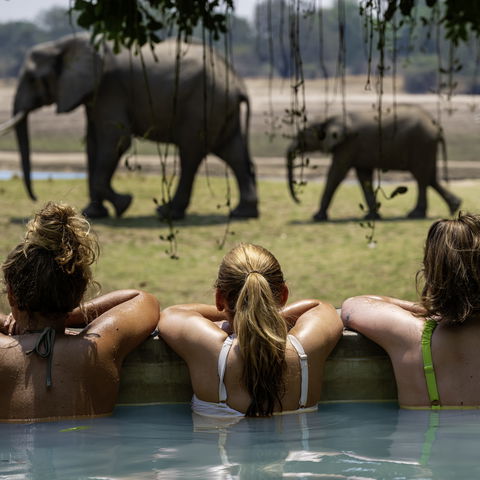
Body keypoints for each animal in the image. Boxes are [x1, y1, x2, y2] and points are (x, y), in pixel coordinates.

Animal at [0, 33, 258, 219]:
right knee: (233, 152)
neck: (64, 43)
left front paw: (124, 204)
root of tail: (237, 82)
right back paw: (243, 213)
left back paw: (168, 212)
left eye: (33, 79)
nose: (35, 199)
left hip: (203, 105)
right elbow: (93, 145)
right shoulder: (94, 95)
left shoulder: (110, 88)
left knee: (191, 154)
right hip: (219, 108)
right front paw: (92, 214)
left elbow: (116, 142)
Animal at [286, 105, 464, 221]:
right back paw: (455, 207)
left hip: (422, 143)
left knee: (421, 177)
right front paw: (372, 216)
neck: (329, 118)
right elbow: (363, 176)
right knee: (429, 177)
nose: (299, 201)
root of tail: (437, 126)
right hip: (426, 145)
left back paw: (415, 215)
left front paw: (317, 217)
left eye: (302, 134)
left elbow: (336, 173)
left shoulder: (348, 145)